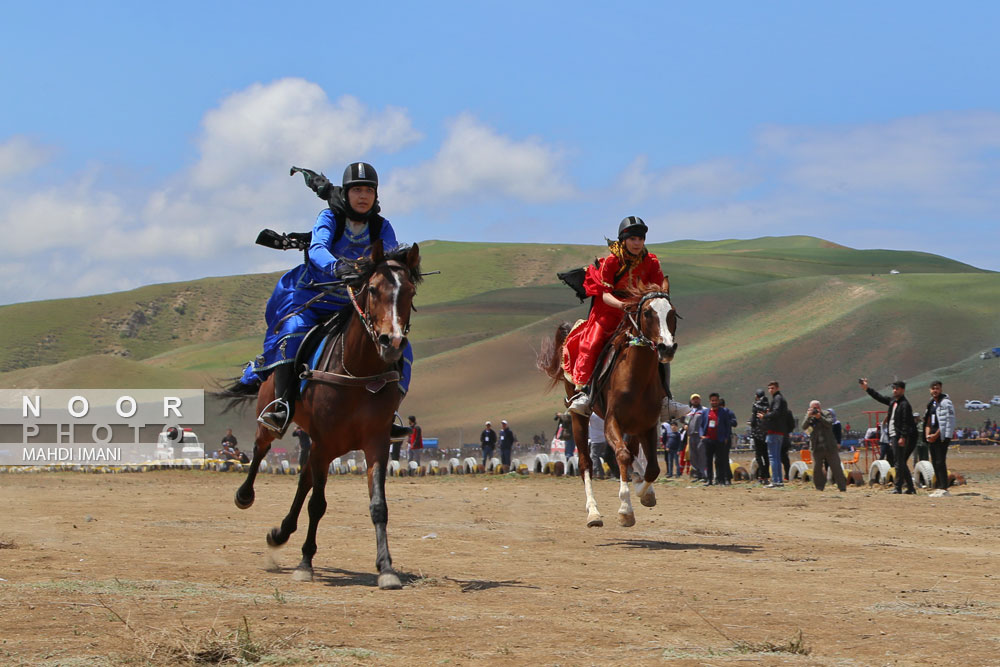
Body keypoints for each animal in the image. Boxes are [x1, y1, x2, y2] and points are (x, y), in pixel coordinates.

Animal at [540, 280, 680, 528]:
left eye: (672, 313)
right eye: (647, 312)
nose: (667, 347)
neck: (636, 378)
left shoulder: (648, 425)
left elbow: (652, 468)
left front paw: (644, 493)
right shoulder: (611, 422)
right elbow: (622, 456)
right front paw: (625, 510)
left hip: (633, 426)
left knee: (632, 452)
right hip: (579, 418)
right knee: (586, 463)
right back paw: (593, 513)